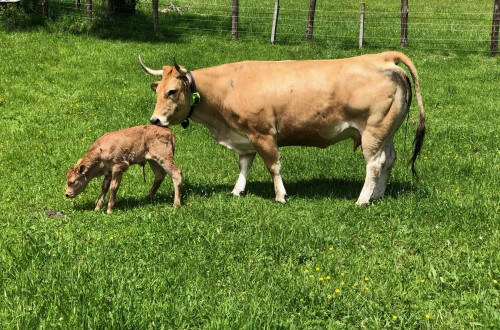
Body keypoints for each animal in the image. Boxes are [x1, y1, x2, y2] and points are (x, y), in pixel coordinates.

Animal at [141, 51, 426, 205]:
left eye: (172, 91)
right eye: (157, 90)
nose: (155, 121)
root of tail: (383, 57)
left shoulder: (263, 134)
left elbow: (273, 166)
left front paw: (280, 195)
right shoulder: (245, 137)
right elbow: (244, 165)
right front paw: (237, 190)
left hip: (373, 131)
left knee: (375, 164)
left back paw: (363, 199)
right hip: (386, 131)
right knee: (389, 160)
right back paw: (378, 195)